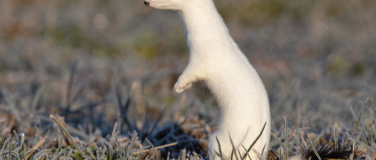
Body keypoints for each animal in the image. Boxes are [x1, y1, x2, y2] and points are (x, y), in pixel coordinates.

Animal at [144, 0, 270, 159]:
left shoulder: (202, 60)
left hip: (218, 139)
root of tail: (257, 152)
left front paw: (179, 86)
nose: (145, 2)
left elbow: (192, 72)